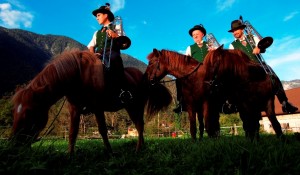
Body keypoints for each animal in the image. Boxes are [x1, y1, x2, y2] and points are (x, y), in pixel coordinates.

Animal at [11, 50, 172, 154]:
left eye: (29, 112)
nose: (14, 143)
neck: (79, 74)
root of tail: (145, 77)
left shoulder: (98, 107)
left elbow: (103, 130)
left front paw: (110, 152)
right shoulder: (74, 108)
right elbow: (73, 132)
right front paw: (70, 155)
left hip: (135, 106)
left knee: (139, 125)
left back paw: (138, 149)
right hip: (130, 107)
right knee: (140, 125)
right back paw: (142, 146)